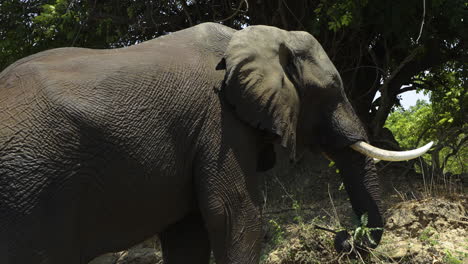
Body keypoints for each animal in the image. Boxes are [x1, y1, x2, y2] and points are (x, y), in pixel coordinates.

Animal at [0, 23, 432, 264]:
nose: (342, 239)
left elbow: (188, 232)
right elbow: (233, 212)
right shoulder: (219, 122)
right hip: (30, 189)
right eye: (331, 92)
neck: (253, 36)